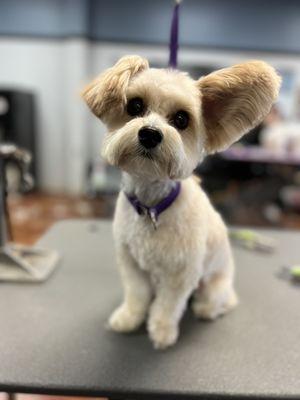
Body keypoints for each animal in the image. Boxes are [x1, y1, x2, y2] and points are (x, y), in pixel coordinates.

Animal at [82, 54, 282, 348]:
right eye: (135, 105)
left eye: (181, 119)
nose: (150, 133)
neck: (152, 206)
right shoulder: (130, 262)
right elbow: (137, 294)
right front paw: (129, 318)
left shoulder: (181, 273)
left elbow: (168, 305)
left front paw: (162, 331)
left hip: (213, 285)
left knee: (212, 302)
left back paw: (209, 309)